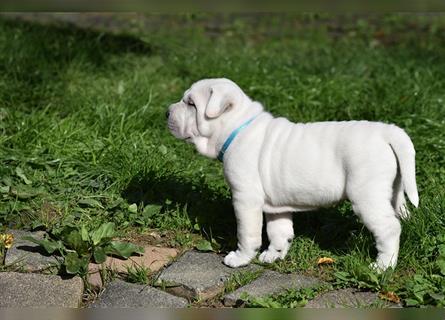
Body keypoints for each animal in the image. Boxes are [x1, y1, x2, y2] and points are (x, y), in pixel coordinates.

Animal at [166, 77, 416, 270]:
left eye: (191, 104)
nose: (166, 112)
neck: (237, 128)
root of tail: (386, 132)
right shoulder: (277, 206)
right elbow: (278, 230)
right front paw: (273, 254)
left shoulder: (245, 199)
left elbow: (247, 233)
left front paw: (241, 258)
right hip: (394, 190)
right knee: (401, 214)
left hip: (366, 196)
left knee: (390, 228)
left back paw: (383, 266)